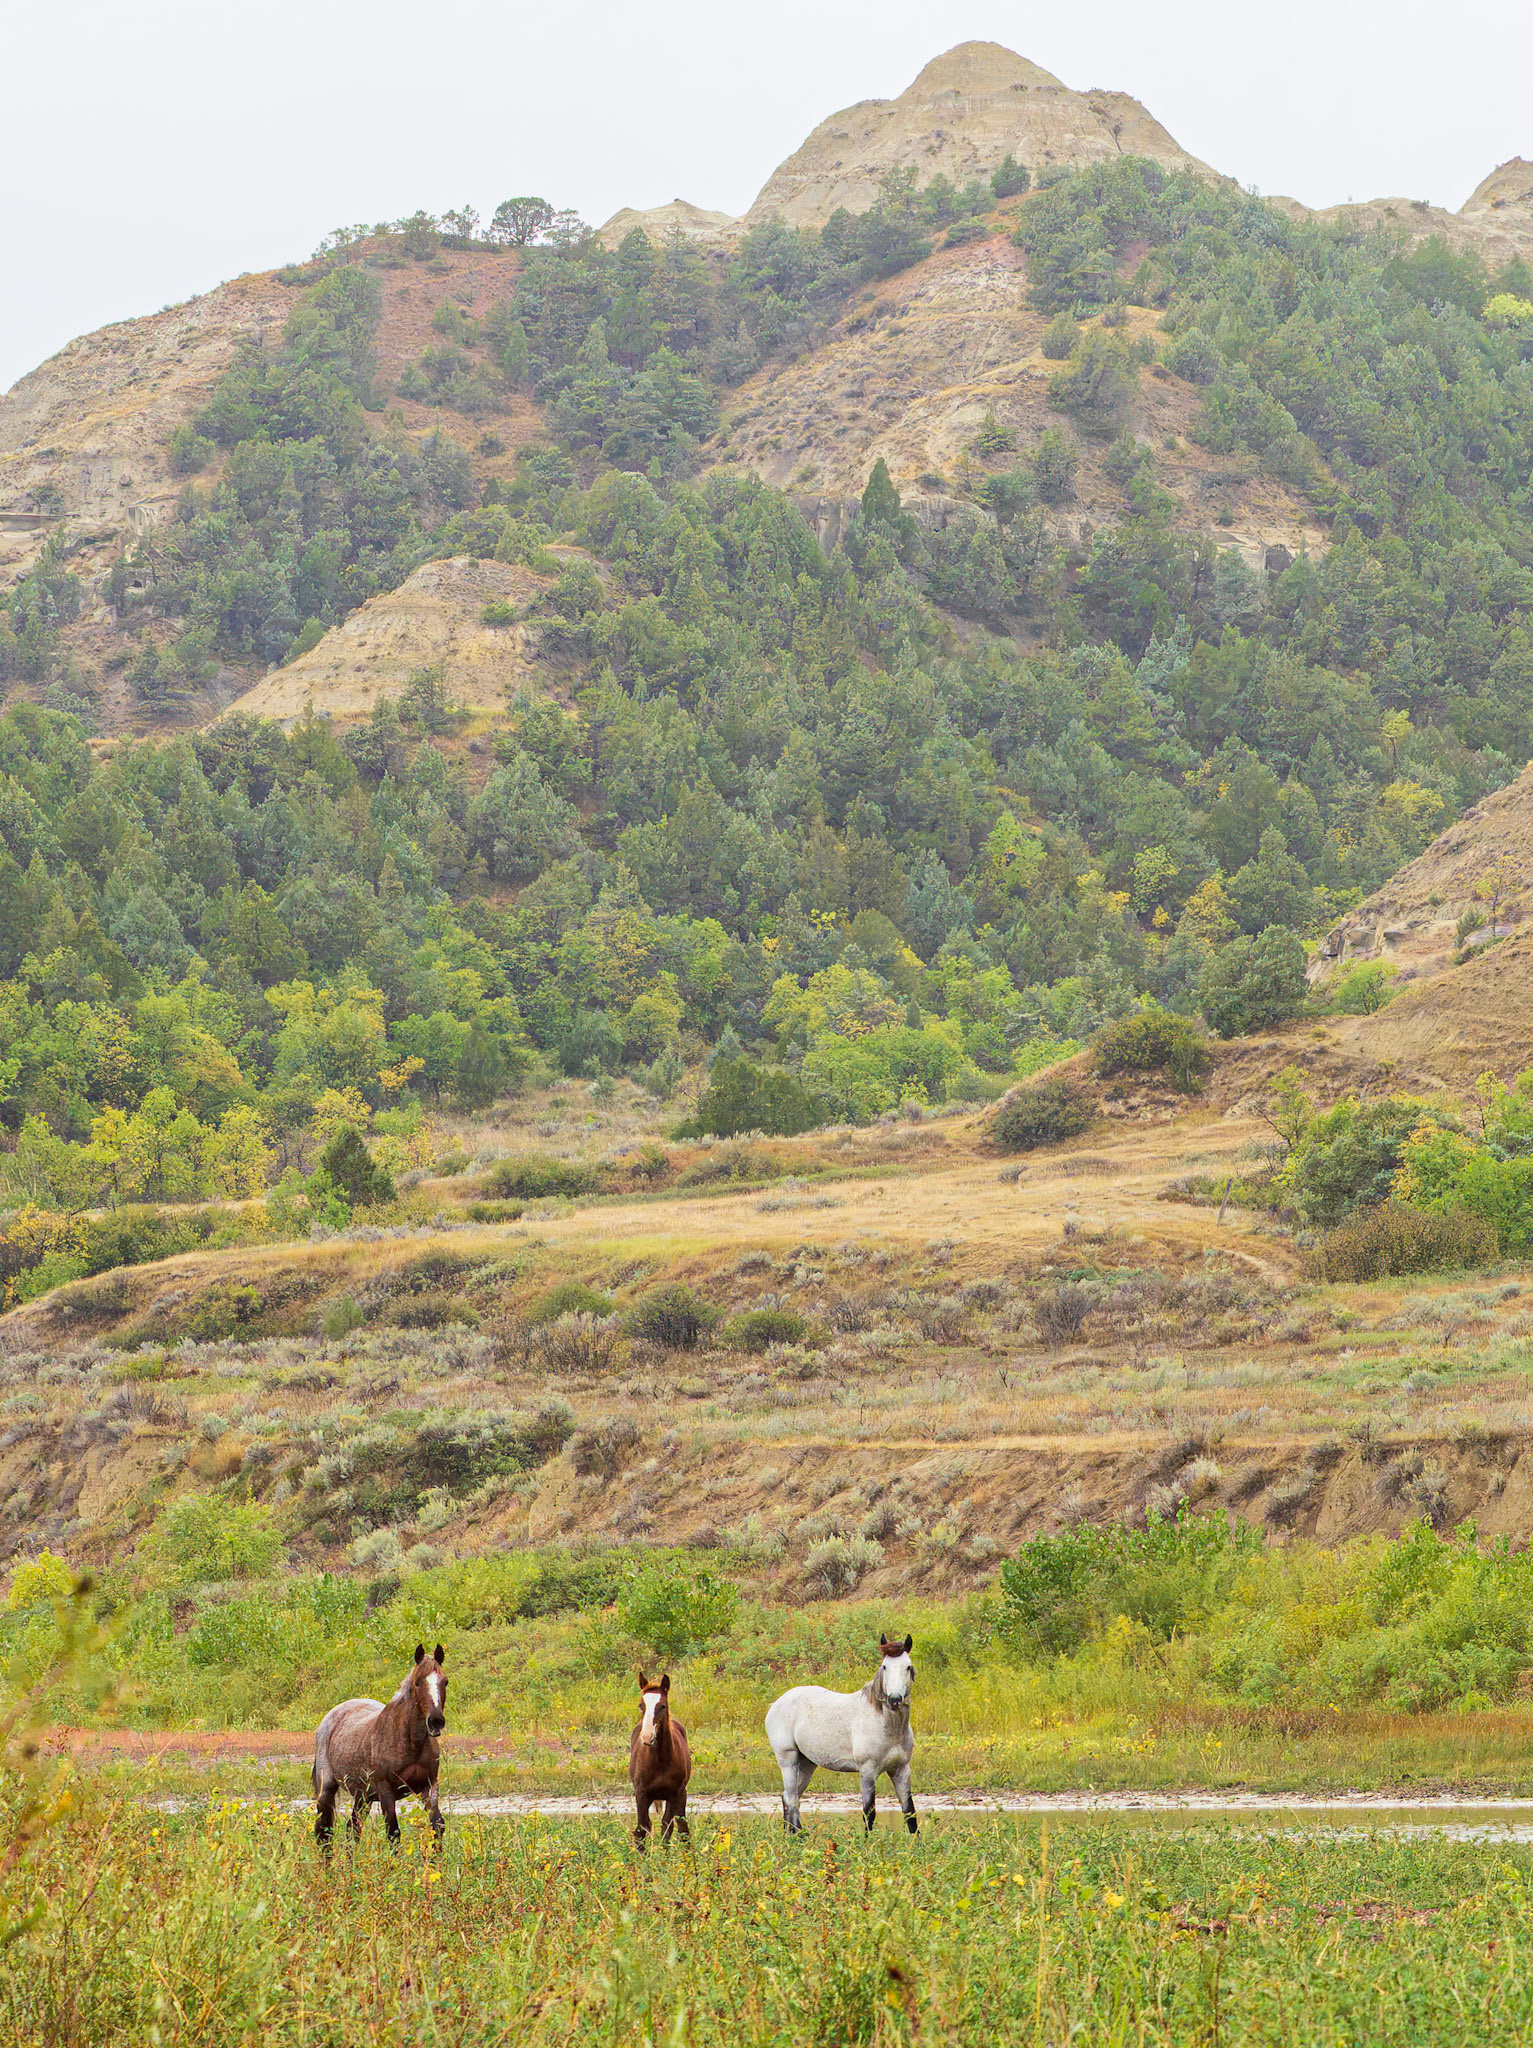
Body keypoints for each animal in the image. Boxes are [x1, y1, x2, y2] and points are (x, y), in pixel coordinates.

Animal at [312, 1642, 448, 1850]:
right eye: (417, 1682)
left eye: (445, 1681)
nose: (435, 1722)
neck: (410, 1743)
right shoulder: (386, 1792)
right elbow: (393, 1833)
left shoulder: (429, 1785)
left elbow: (437, 1826)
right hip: (327, 1789)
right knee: (324, 1833)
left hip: (363, 1796)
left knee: (352, 1828)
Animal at [629, 1667, 692, 1849]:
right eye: (641, 1705)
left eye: (662, 1706)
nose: (647, 1737)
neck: (660, 1761)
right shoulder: (641, 1793)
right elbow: (641, 1829)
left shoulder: (676, 1793)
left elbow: (676, 1829)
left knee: (672, 1827)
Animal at [765, 1633, 916, 1835]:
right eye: (884, 1666)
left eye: (908, 1666)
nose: (894, 1700)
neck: (886, 1726)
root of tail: (776, 1704)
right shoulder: (867, 1772)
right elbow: (869, 1812)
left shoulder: (901, 1770)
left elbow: (910, 1812)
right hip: (788, 1762)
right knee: (791, 1800)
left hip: (806, 1764)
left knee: (789, 1798)